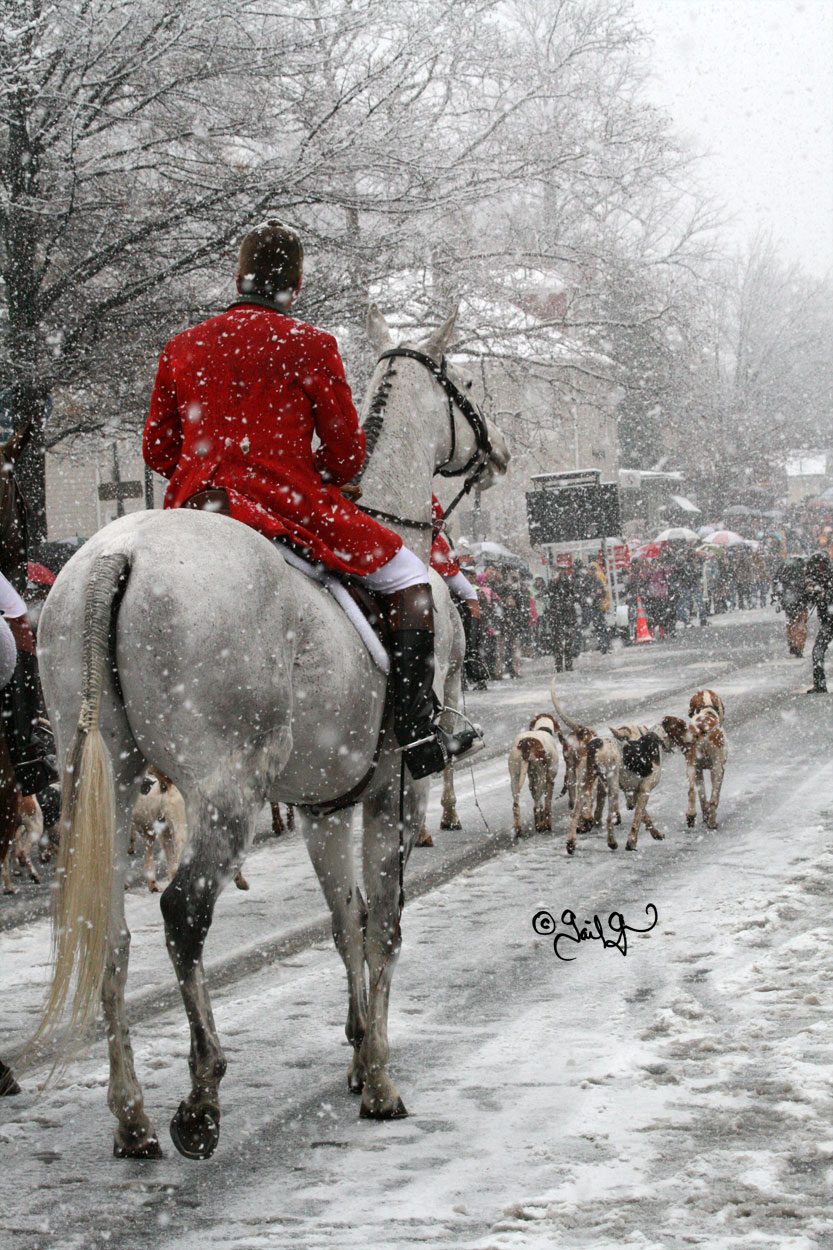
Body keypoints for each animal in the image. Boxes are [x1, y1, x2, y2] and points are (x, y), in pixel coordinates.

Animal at [30, 305, 505, 1160]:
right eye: (462, 382)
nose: (498, 453)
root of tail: (116, 552)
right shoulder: (390, 791)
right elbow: (384, 925)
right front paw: (379, 1079)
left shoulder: (324, 804)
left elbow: (344, 919)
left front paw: (356, 1050)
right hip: (225, 791)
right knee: (182, 914)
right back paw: (199, 1100)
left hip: (102, 781)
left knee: (107, 931)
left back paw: (133, 1118)